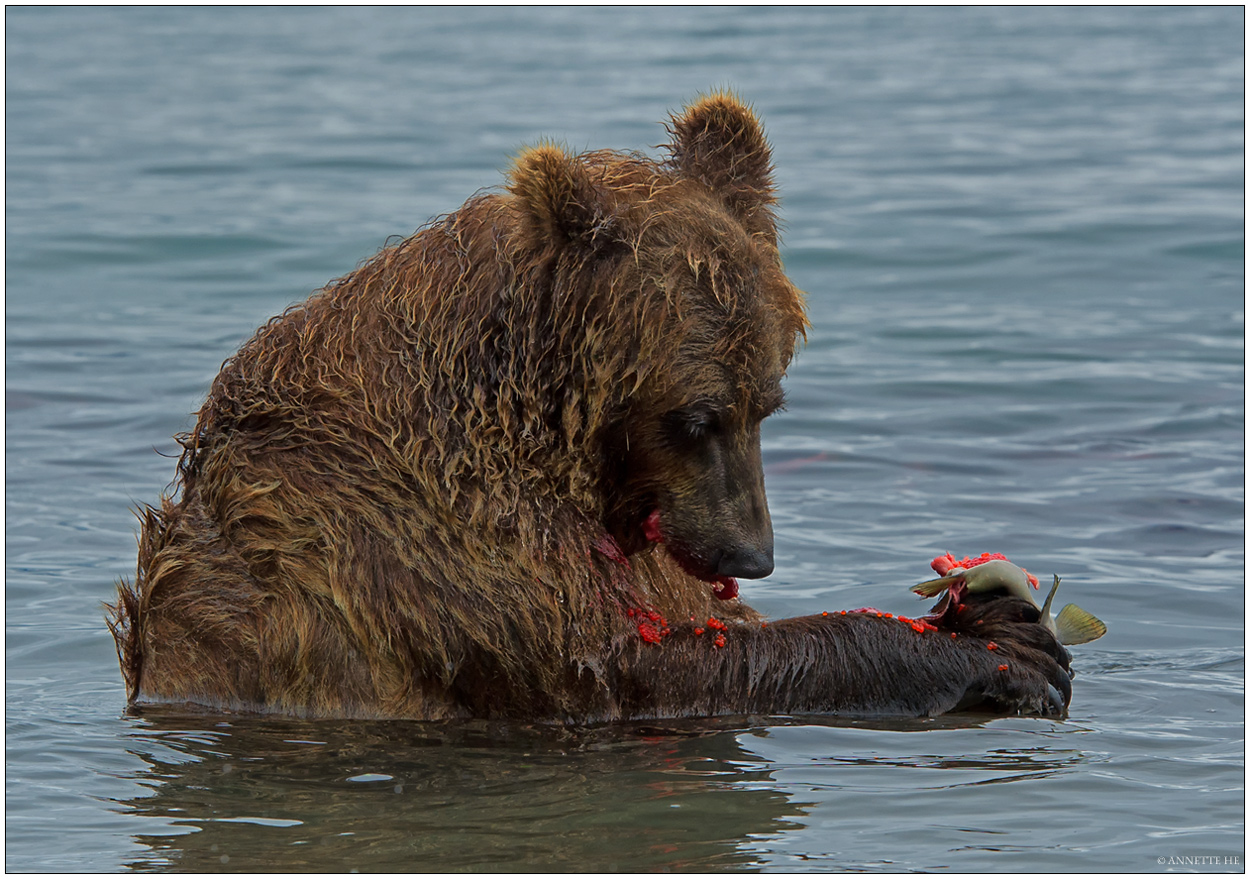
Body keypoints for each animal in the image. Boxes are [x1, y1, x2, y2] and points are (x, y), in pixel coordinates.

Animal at [107, 91, 1070, 720]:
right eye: (698, 417)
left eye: (767, 405)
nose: (751, 553)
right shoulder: (435, 540)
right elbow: (636, 667)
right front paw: (993, 653)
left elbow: (705, 624)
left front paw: (998, 614)